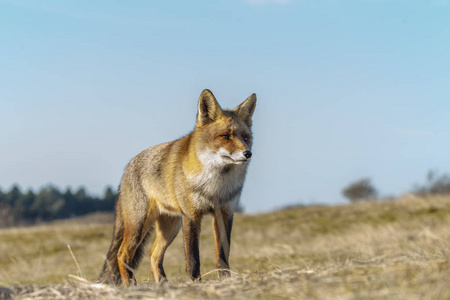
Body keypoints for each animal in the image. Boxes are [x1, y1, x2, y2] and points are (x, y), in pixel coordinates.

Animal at [97, 89, 256, 286]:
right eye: (225, 136)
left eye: (246, 138)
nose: (248, 153)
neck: (215, 188)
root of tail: (127, 167)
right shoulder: (191, 215)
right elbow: (193, 257)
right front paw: (195, 282)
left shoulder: (225, 214)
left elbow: (223, 255)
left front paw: (225, 280)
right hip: (139, 225)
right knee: (122, 254)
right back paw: (131, 286)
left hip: (170, 227)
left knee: (153, 255)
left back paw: (162, 284)